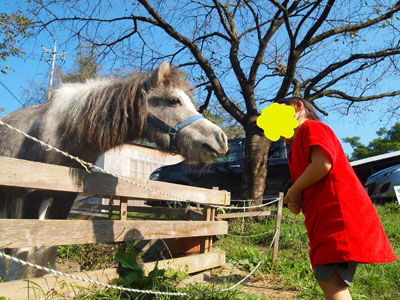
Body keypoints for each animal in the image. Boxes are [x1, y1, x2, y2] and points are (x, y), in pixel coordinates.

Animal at [0, 61, 228, 282]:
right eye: (174, 101)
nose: (221, 139)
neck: (63, 133)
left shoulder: (64, 198)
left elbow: (49, 243)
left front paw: (46, 278)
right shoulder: (31, 195)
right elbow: (25, 246)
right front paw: (17, 282)